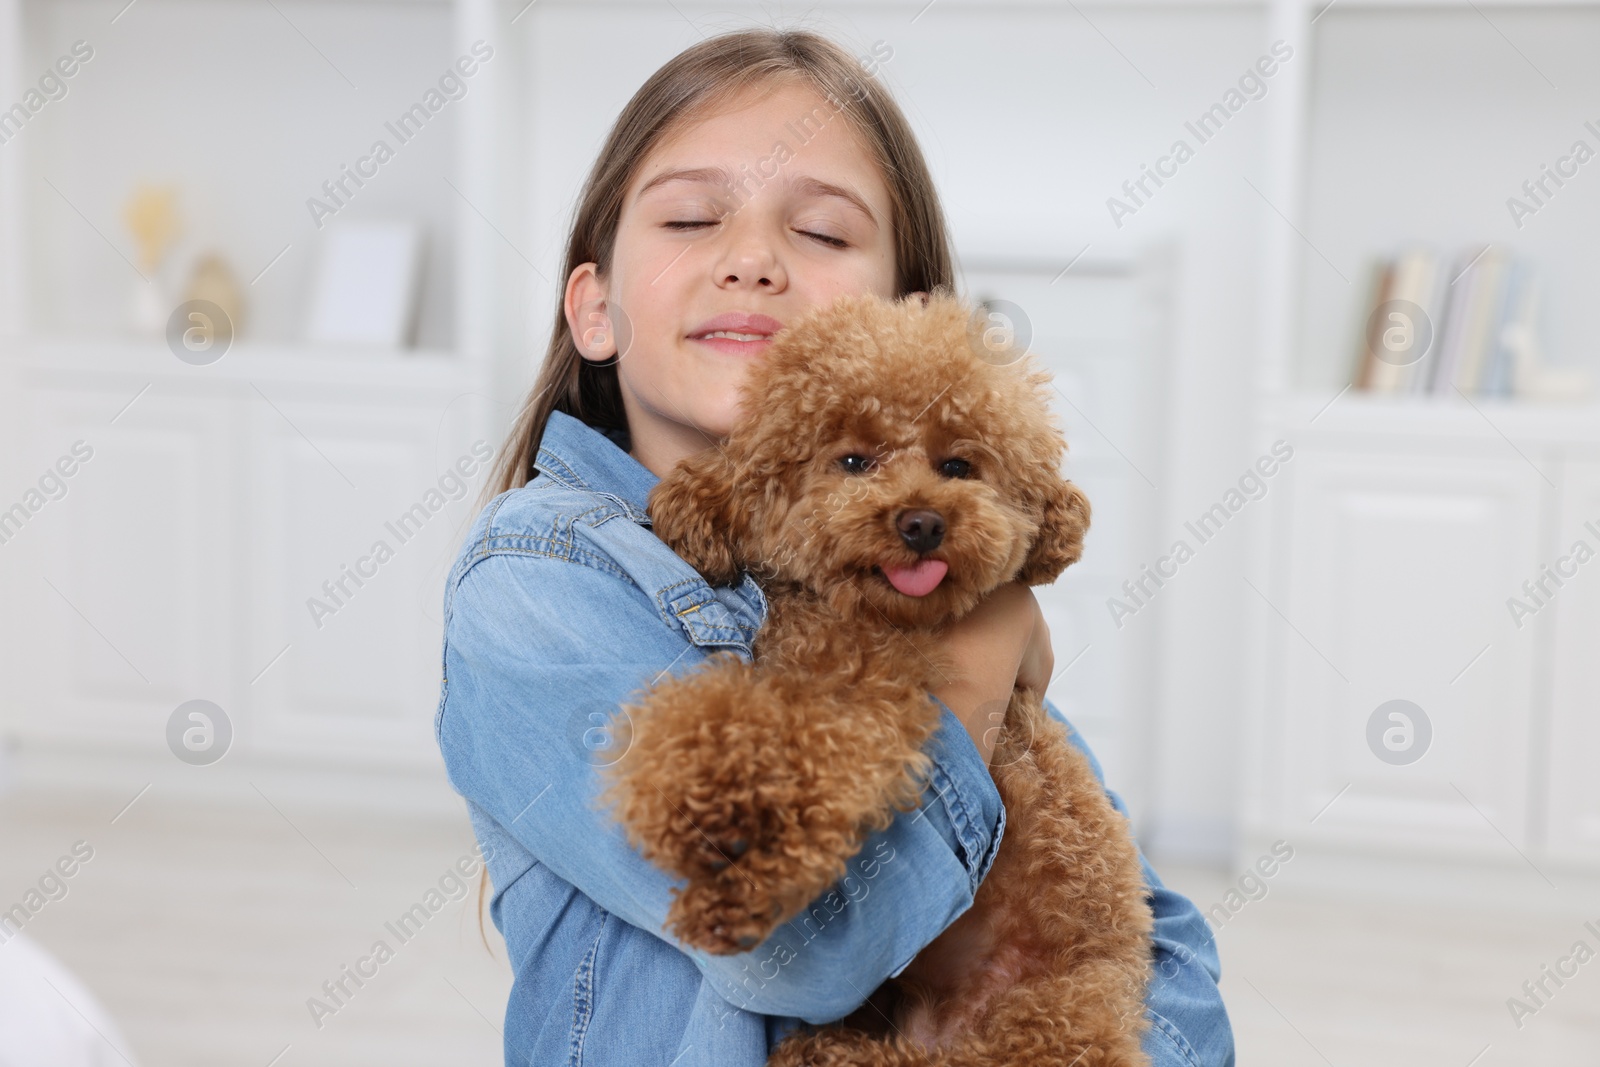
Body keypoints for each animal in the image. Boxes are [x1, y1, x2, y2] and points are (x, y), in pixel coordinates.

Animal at [598, 292, 1152, 1067]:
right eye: (854, 461)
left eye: (958, 464)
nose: (921, 522)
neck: (856, 622)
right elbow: (711, 718)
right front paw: (704, 812)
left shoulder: (874, 708)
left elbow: (816, 764)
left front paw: (743, 878)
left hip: (1045, 1022)